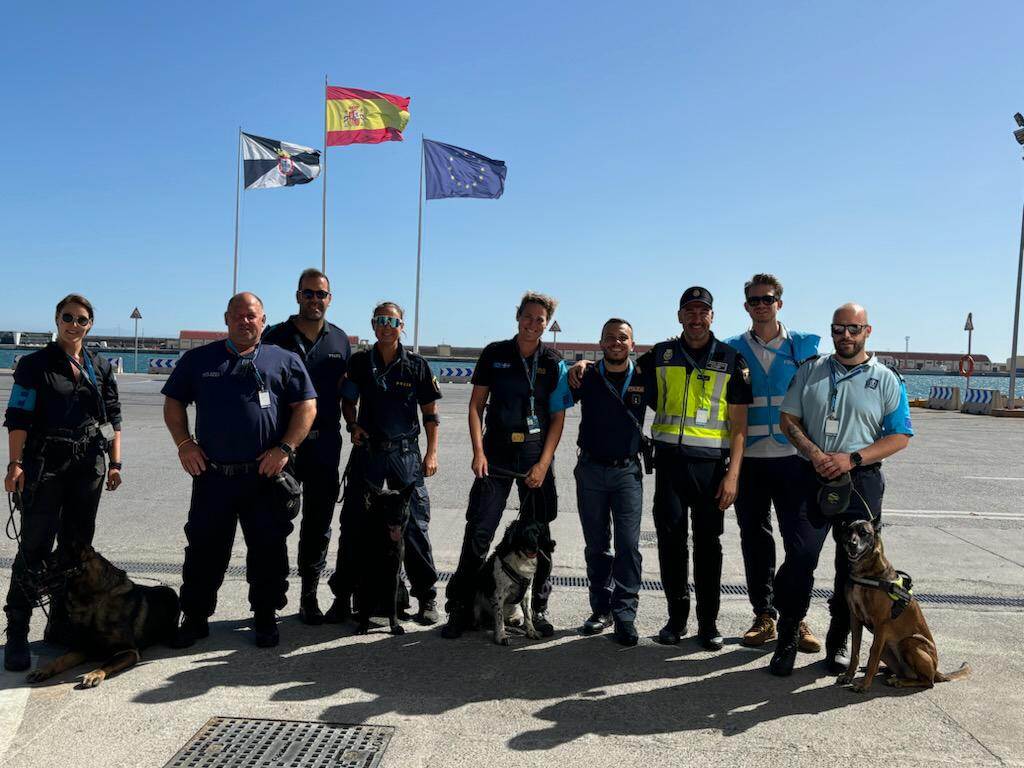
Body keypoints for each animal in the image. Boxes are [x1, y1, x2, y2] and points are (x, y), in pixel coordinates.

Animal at [25, 548, 178, 692]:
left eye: (52, 563)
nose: (26, 579)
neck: (94, 602)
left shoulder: (128, 651)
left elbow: (107, 663)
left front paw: (94, 674)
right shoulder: (81, 648)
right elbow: (60, 660)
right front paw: (43, 670)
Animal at [354, 481, 413, 638]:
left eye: (401, 506)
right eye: (386, 506)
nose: (397, 520)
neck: (383, 539)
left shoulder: (393, 576)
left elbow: (392, 606)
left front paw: (395, 627)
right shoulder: (364, 576)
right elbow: (364, 604)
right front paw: (363, 625)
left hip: (402, 589)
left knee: (397, 608)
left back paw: (403, 615)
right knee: (364, 607)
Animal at [831, 520, 966, 696]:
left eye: (864, 533)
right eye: (848, 531)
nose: (850, 544)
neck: (865, 573)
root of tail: (937, 671)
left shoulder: (881, 623)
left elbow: (872, 653)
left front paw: (864, 685)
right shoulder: (855, 618)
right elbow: (855, 650)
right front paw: (848, 675)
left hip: (909, 642)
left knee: (928, 682)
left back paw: (898, 681)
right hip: (888, 649)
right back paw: (888, 672)